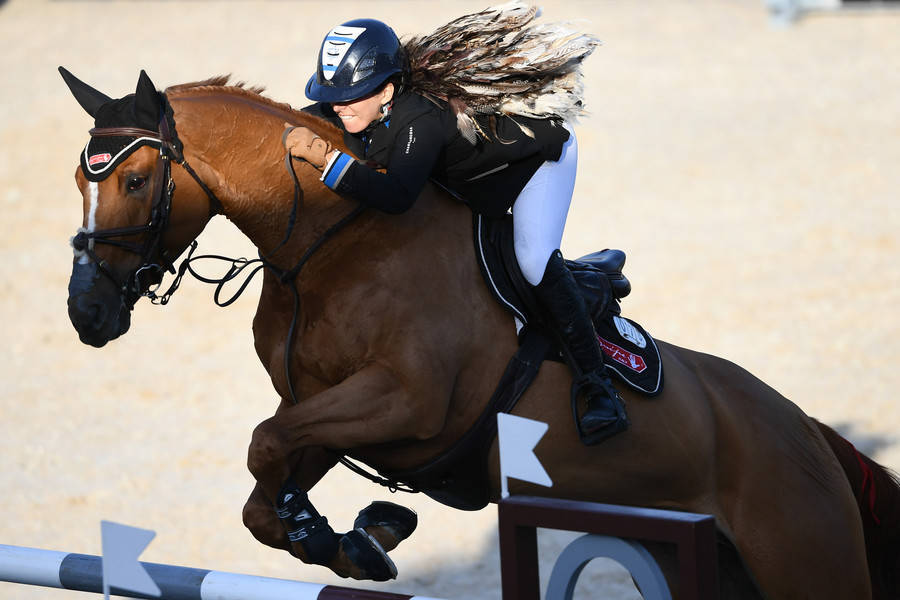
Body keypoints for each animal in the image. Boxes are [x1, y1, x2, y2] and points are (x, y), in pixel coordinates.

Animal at [59, 71, 896, 600]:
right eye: (77, 182)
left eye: (135, 181)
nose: (85, 315)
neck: (332, 241)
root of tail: (810, 432)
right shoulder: (332, 410)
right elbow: (265, 479)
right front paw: (349, 537)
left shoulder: (410, 403)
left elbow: (266, 444)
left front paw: (346, 533)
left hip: (806, 560)